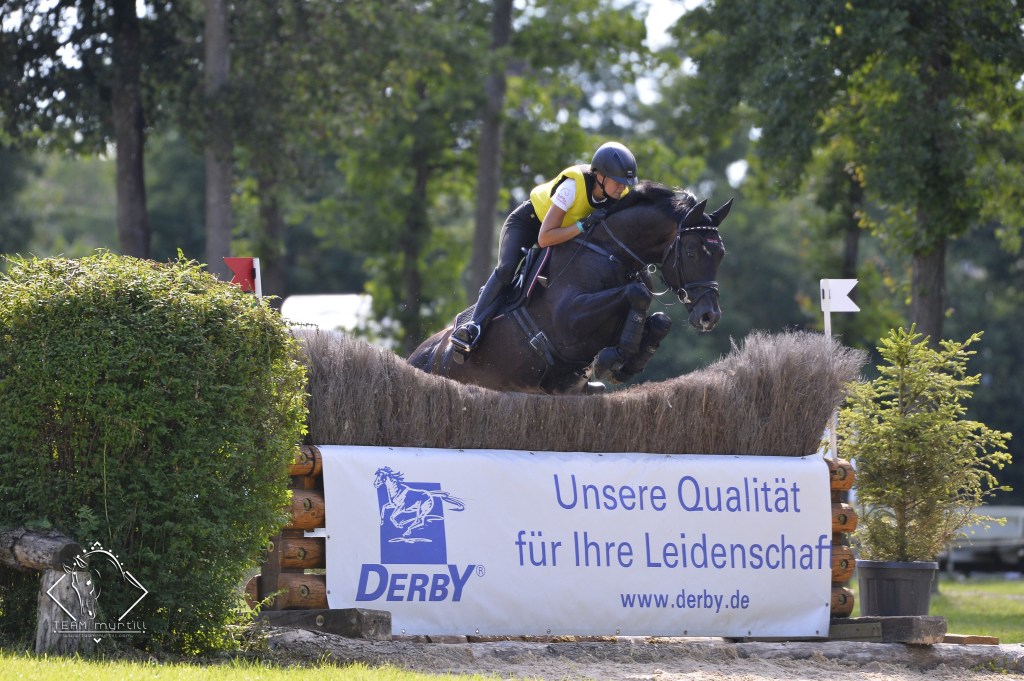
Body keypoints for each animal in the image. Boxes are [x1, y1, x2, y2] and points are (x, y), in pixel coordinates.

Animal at [407, 181, 730, 395]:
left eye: (721, 255)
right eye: (691, 252)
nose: (709, 316)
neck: (609, 252)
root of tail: (418, 357)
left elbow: (659, 319)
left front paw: (627, 362)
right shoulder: (569, 321)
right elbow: (637, 294)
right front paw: (613, 359)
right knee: (502, 272)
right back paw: (466, 335)